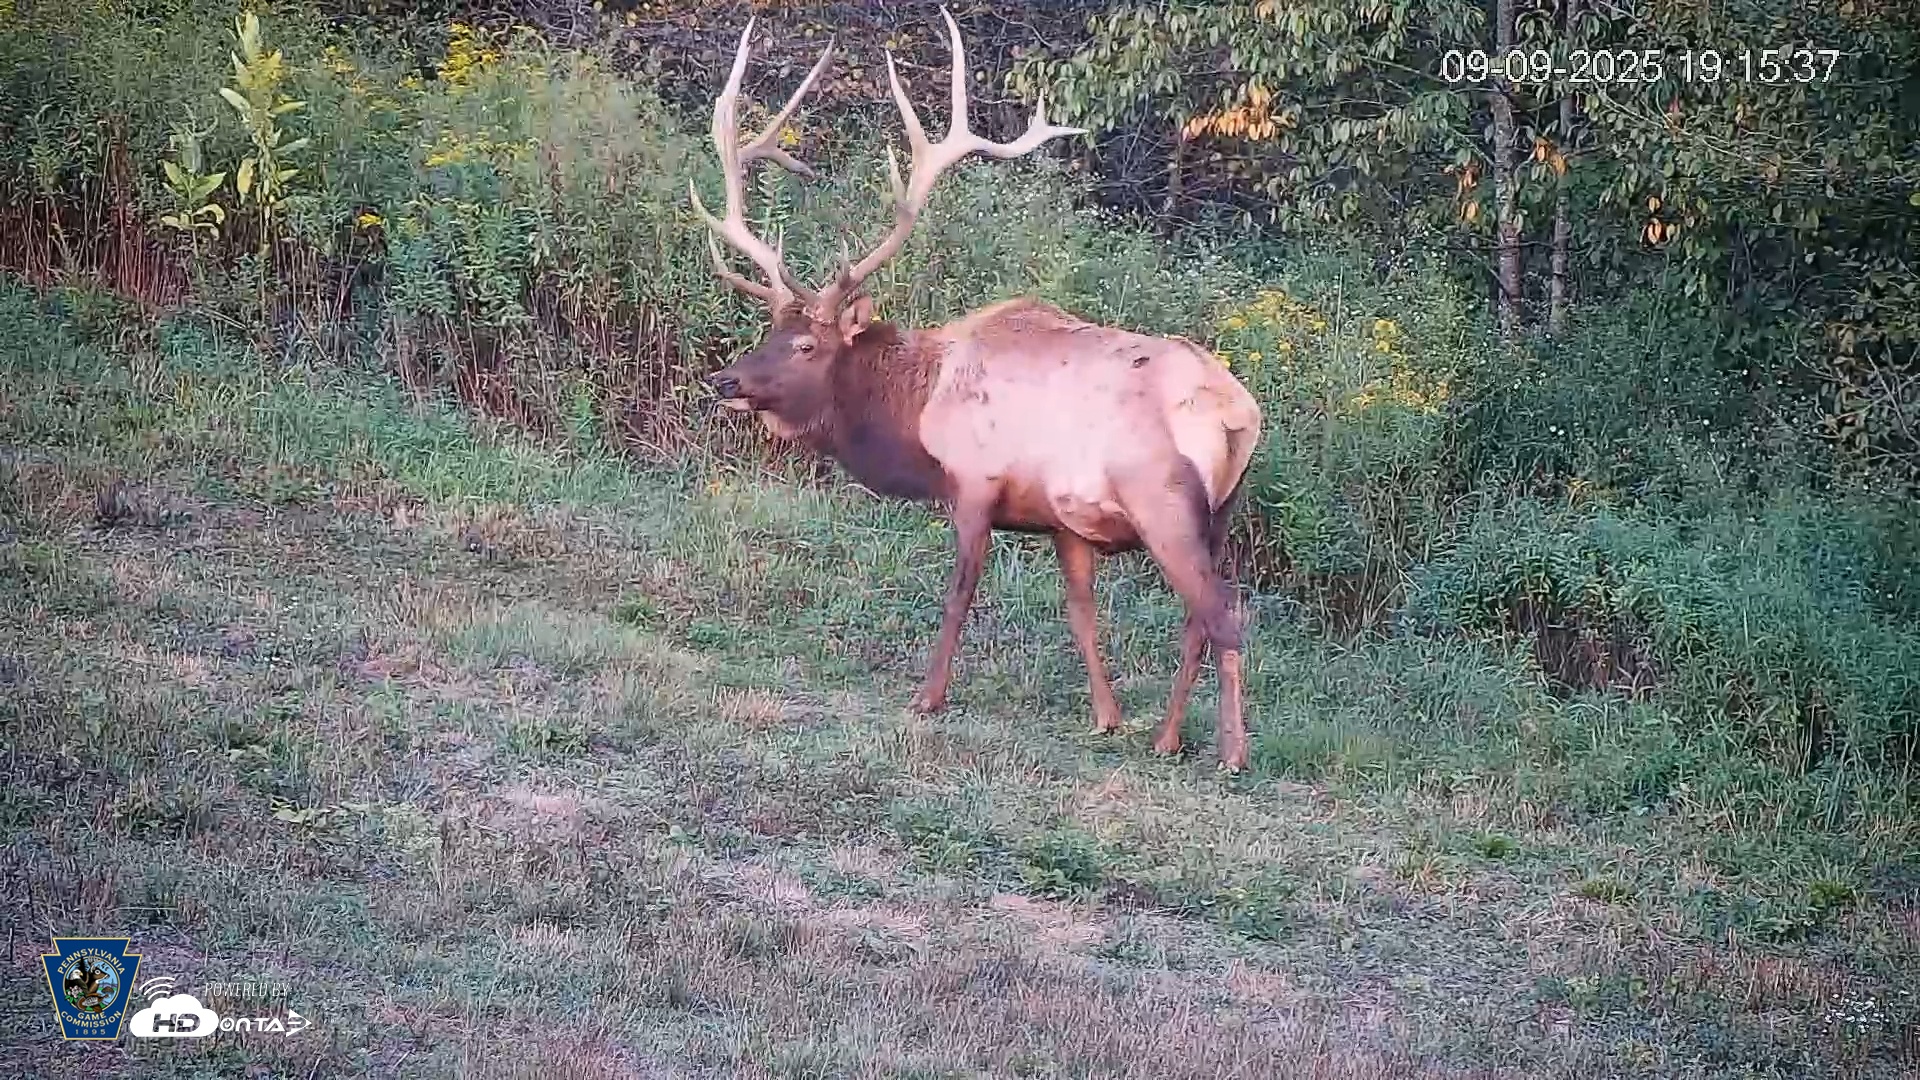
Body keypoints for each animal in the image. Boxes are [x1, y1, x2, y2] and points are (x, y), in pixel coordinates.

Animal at [689, 7, 1264, 771]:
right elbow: (1081, 611)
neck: (915, 411)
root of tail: (1238, 417)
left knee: (1224, 611)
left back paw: (1231, 752)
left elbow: (960, 592)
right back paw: (1168, 737)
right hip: (1221, 514)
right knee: (1199, 617)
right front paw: (1106, 717)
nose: (725, 379)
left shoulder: (974, 482)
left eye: (807, 345)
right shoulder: (1062, 521)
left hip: (1163, 502)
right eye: (769, 329)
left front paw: (927, 697)